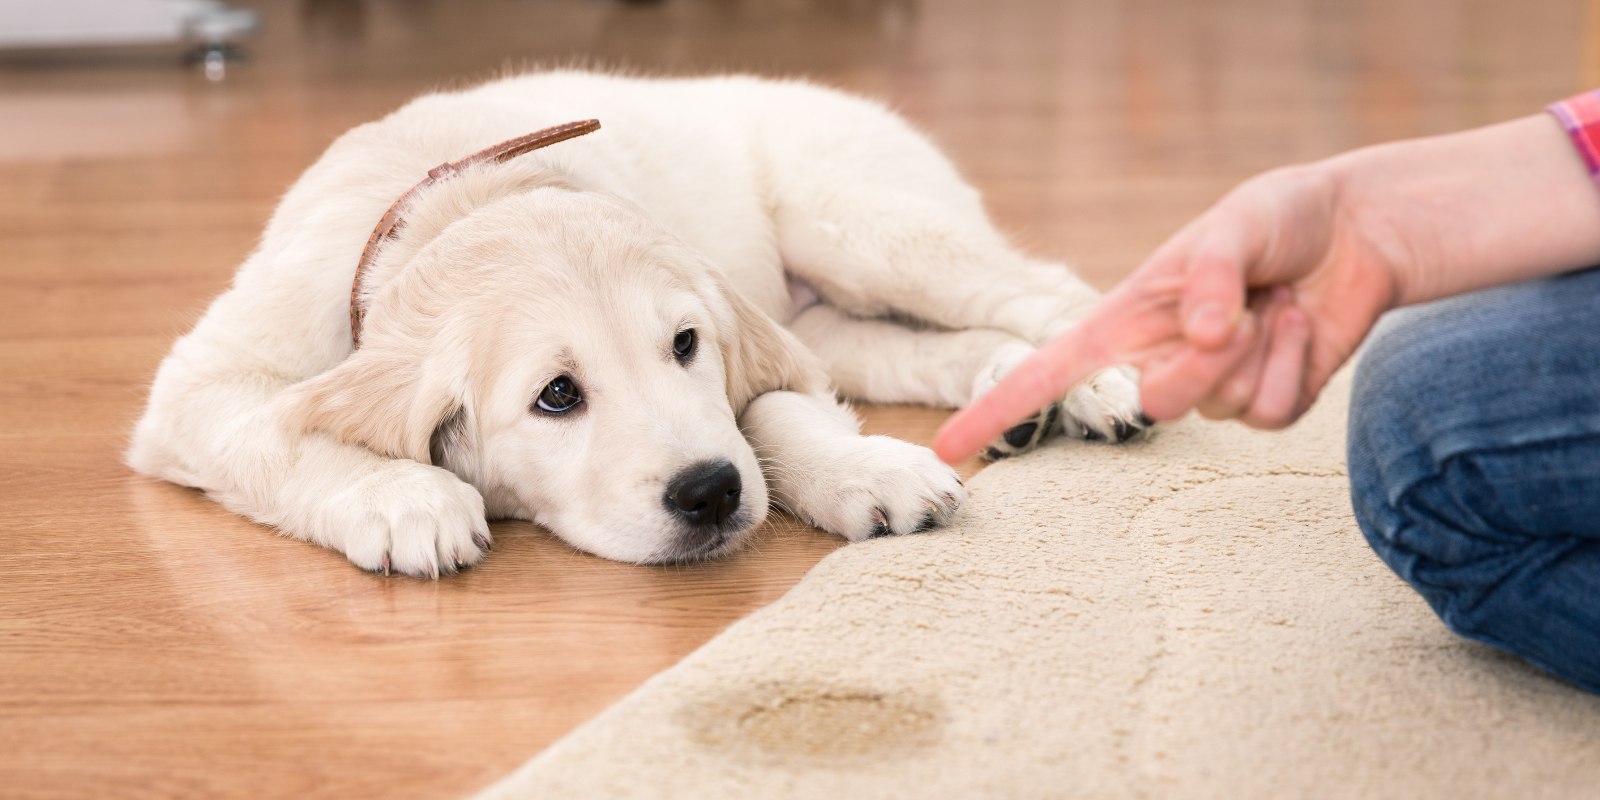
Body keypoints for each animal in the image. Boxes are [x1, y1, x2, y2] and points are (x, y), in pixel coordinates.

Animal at [128, 72, 1152, 576]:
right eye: (557, 396)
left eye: (685, 346)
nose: (710, 494)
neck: (458, 197)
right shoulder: (200, 387)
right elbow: (279, 433)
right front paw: (404, 499)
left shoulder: (751, 341)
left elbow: (770, 411)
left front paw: (864, 470)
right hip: (836, 308)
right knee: (920, 345)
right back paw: (1013, 394)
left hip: (862, 223)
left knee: (1043, 288)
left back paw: (1099, 385)